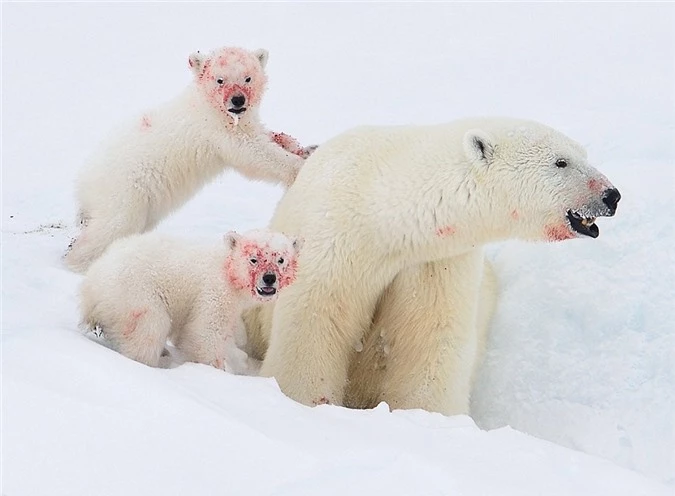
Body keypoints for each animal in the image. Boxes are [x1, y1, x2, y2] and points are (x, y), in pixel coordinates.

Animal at [244, 117, 624, 414]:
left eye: (583, 154)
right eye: (561, 162)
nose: (612, 195)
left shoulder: (435, 261)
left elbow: (430, 337)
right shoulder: (337, 237)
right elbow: (315, 318)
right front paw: (301, 398)